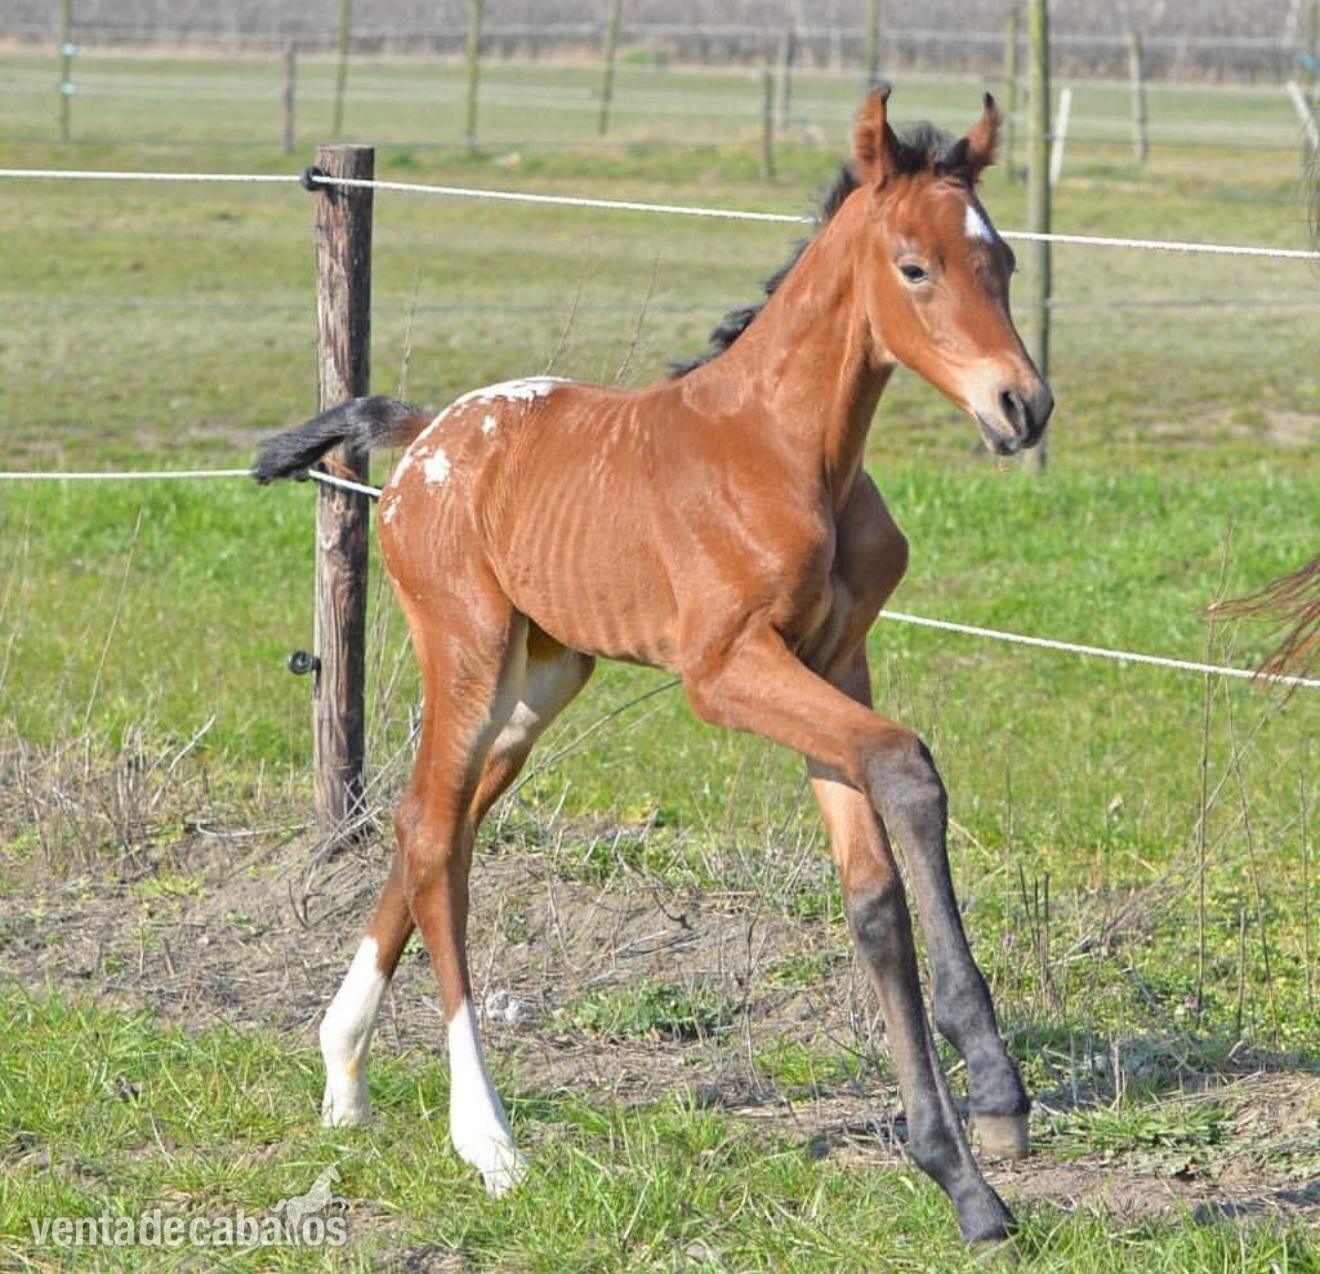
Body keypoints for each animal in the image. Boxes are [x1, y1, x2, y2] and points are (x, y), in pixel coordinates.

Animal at [255, 85, 1052, 1248]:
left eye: (1001, 262)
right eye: (915, 266)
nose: (1022, 407)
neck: (787, 450)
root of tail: (429, 433)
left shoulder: (835, 661)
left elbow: (871, 898)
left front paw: (961, 1176)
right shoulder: (724, 672)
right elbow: (909, 766)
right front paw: (992, 1085)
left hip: (542, 682)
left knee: (436, 825)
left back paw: (345, 1075)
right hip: (466, 649)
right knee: (434, 830)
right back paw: (487, 1139)